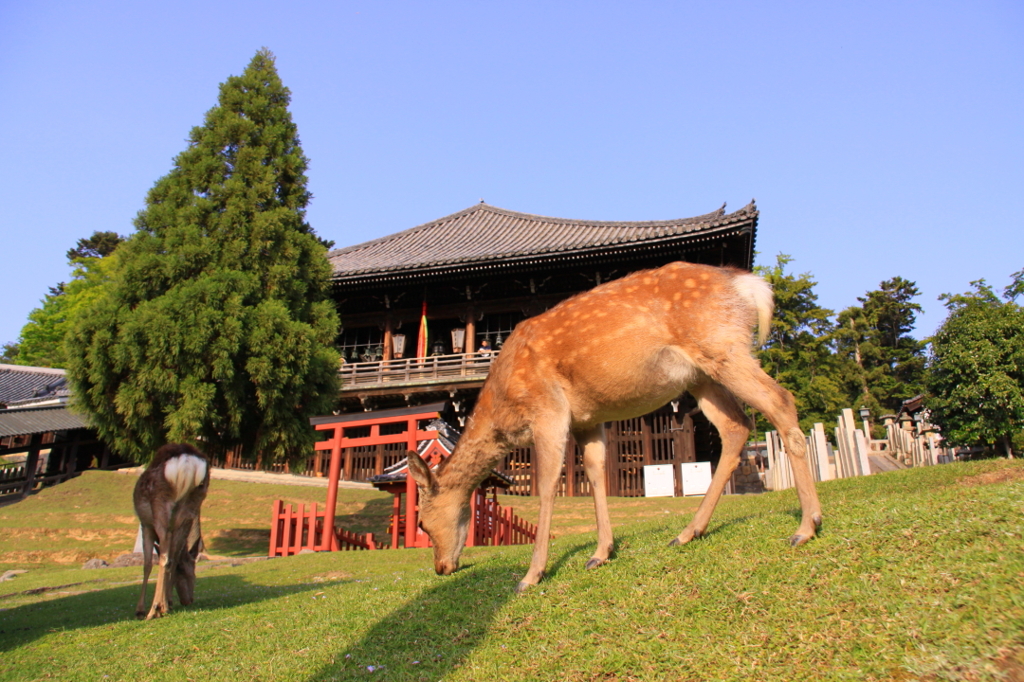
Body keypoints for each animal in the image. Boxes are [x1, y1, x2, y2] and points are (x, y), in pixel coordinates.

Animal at [134, 440, 209, 614]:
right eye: (192, 573)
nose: (188, 600)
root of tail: (188, 461)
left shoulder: (145, 525)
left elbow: (147, 564)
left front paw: (140, 609)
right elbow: (174, 560)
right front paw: (169, 601)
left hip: (161, 505)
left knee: (164, 558)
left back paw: (154, 609)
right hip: (191, 507)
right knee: (172, 559)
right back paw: (163, 606)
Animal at [407, 259, 823, 589]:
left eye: (423, 523)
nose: (441, 567)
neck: (502, 408)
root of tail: (749, 285)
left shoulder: (548, 410)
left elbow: (547, 484)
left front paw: (531, 575)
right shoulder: (588, 419)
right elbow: (595, 474)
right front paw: (601, 552)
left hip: (723, 345)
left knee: (780, 402)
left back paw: (807, 526)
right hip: (701, 375)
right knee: (736, 425)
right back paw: (688, 532)